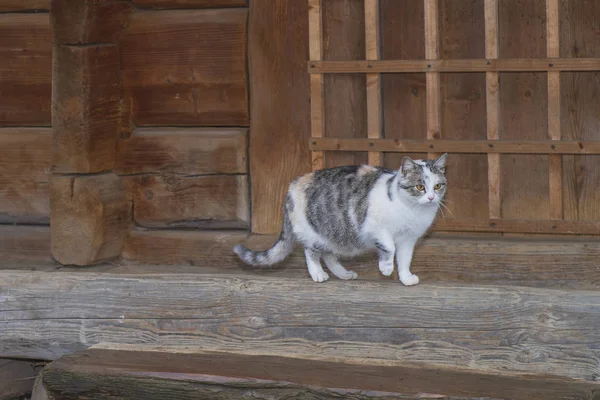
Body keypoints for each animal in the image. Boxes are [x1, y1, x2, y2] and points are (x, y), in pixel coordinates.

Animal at [232, 152, 448, 286]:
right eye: (420, 187)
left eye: (437, 186)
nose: (431, 198)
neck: (412, 211)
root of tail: (294, 184)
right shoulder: (373, 226)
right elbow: (388, 246)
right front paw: (386, 268)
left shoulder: (408, 239)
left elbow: (404, 259)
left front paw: (405, 277)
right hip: (313, 232)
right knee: (311, 252)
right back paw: (317, 273)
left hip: (334, 234)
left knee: (328, 254)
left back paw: (343, 274)